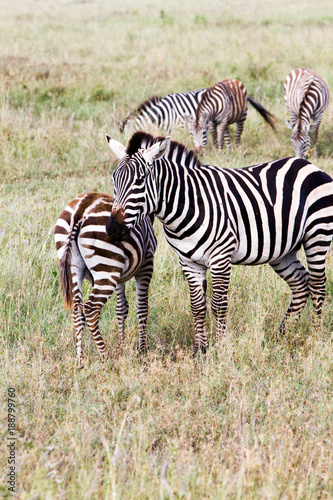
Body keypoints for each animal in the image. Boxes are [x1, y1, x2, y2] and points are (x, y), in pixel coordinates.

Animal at [54, 189, 157, 366]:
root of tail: (81, 209)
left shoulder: (119, 276)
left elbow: (121, 308)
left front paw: (121, 345)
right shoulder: (146, 264)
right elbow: (142, 308)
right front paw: (142, 350)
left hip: (75, 268)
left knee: (77, 311)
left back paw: (80, 361)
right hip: (106, 268)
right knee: (90, 310)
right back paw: (106, 358)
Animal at [104, 132, 332, 356]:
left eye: (140, 181)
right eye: (114, 179)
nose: (113, 229)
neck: (189, 204)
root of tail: (308, 164)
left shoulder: (221, 258)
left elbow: (218, 304)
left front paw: (220, 348)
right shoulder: (188, 261)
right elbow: (197, 306)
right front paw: (199, 350)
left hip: (317, 234)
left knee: (317, 284)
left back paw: (316, 335)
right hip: (282, 249)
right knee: (300, 283)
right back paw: (282, 334)